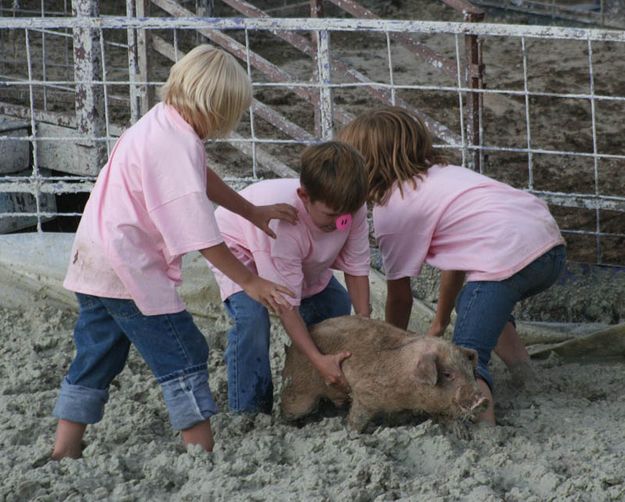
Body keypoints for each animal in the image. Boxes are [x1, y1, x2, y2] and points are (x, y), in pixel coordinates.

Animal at [280, 316, 490, 430]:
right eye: (447, 374)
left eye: (470, 371)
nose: (483, 400)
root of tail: (290, 349)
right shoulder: (365, 393)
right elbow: (358, 417)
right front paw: (353, 432)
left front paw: (461, 434)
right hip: (299, 391)